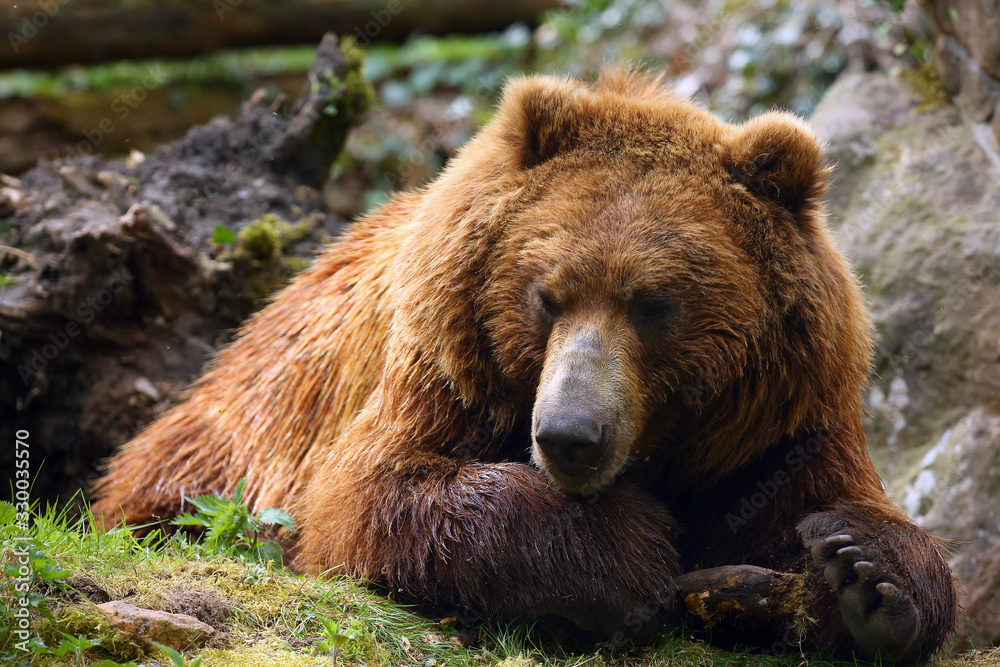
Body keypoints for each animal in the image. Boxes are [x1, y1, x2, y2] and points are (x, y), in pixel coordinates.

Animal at [94, 68, 960, 664]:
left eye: (654, 303)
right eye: (547, 294)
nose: (571, 433)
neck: (665, 448)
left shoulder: (778, 421)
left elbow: (839, 510)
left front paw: (864, 574)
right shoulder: (443, 369)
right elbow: (371, 497)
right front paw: (630, 551)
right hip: (236, 432)